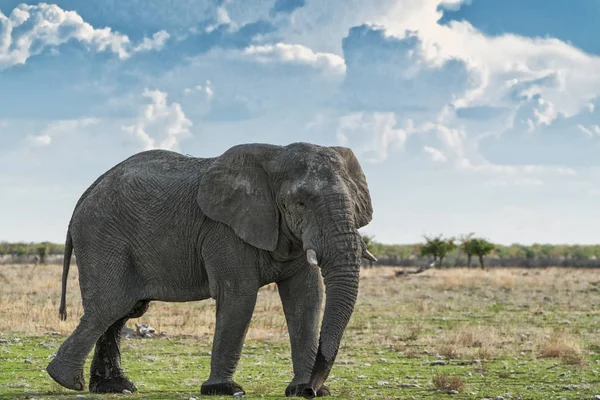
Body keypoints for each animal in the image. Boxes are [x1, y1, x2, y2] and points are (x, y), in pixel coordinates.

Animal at [48, 142, 376, 398]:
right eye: (300, 202)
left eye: (353, 203)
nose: (312, 390)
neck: (275, 156)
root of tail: (85, 193)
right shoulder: (223, 231)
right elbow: (239, 296)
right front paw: (224, 390)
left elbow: (306, 298)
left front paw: (304, 391)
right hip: (103, 238)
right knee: (110, 306)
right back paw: (66, 381)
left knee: (124, 310)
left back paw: (115, 388)